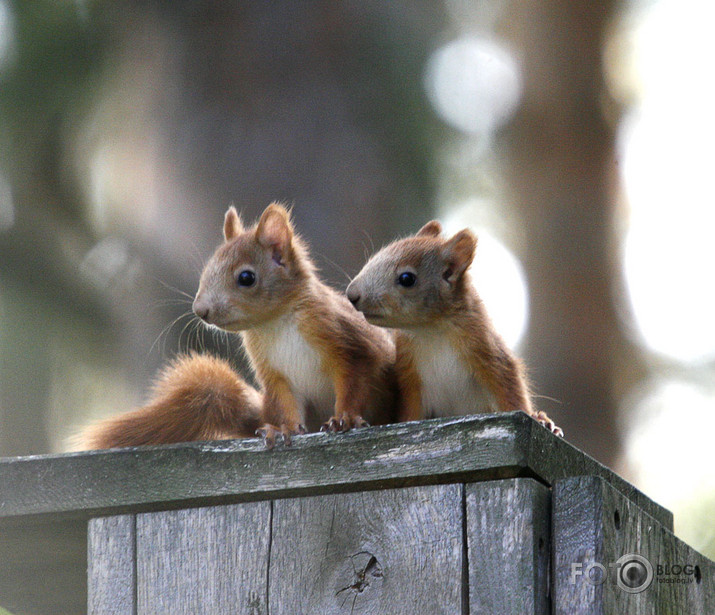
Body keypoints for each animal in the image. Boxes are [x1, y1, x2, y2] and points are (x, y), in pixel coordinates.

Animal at [193, 202, 400, 448]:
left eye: (246, 277)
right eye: (207, 270)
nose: (200, 310)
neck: (275, 323)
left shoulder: (347, 343)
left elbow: (353, 386)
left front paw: (345, 418)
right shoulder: (275, 374)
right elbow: (286, 404)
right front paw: (286, 429)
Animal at [346, 219, 564, 436]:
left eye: (407, 278)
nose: (352, 294)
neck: (431, 330)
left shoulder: (486, 350)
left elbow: (509, 391)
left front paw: (536, 418)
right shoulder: (410, 373)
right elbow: (410, 412)